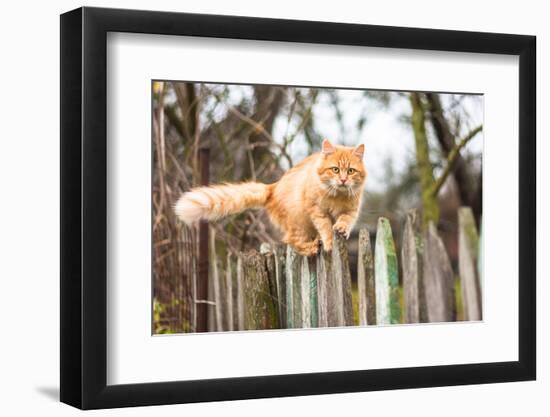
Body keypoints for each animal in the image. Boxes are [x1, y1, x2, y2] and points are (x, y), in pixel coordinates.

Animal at [176, 140, 366, 255]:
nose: (343, 180)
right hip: (298, 223)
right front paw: (328, 243)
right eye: (335, 170)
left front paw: (341, 228)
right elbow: (325, 226)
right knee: (291, 241)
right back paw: (311, 248)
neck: (337, 196)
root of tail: (273, 187)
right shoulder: (316, 210)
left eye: (351, 171)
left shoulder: (351, 211)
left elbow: (344, 220)